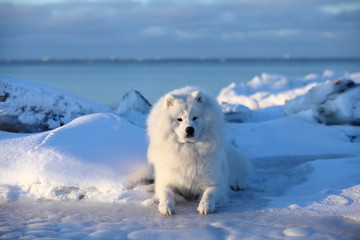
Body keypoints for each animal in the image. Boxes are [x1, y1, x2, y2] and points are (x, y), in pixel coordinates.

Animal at [146, 86, 250, 216]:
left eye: (195, 117)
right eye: (179, 119)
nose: (189, 129)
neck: (188, 150)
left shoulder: (217, 184)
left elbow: (209, 193)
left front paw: (205, 206)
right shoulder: (165, 181)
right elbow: (166, 193)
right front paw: (166, 207)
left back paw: (237, 184)